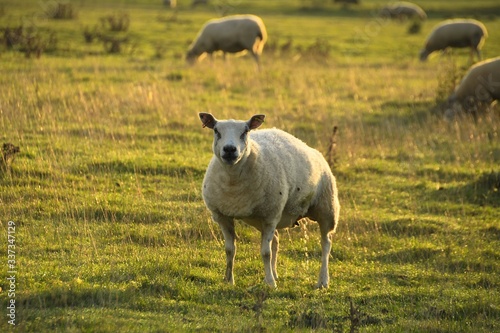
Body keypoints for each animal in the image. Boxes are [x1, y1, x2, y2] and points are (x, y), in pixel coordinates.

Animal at [199, 112, 340, 288]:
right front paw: (229, 280)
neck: (233, 182)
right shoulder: (222, 216)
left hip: (326, 207)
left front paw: (271, 284)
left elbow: (265, 253)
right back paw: (275, 273)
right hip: (265, 217)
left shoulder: (270, 215)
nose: (230, 149)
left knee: (326, 243)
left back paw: (323, 280)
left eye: (245, 131)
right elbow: (230, 250)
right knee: (276, 241)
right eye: (216, 131)